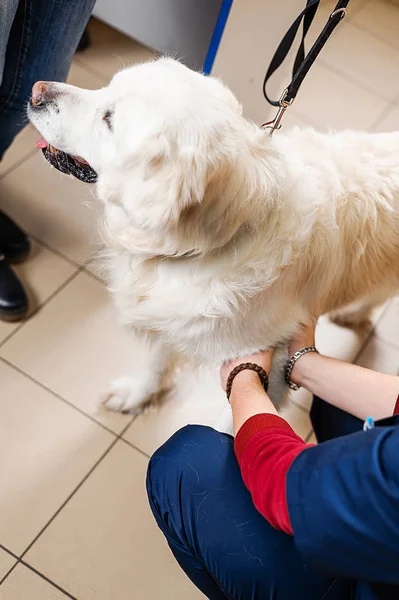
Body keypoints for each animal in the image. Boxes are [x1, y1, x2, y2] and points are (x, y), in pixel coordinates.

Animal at [28, 57, 399, 412]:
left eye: (109, 119)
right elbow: (156, 359)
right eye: (106, 86)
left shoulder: (270, 360)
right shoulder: (170, 318)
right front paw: (136, 393)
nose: (35, 91)